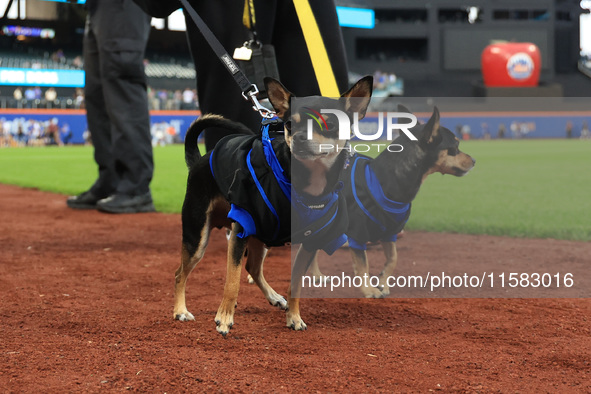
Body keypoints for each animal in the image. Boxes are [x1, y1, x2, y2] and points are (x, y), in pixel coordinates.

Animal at [173, 75, 372, 334]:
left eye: (328, 123)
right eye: (289, 125)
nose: (299, 137)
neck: (304, 185)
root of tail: (199, 161)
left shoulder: (309, 241)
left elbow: (295, 283)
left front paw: (294, 317)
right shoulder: (241, 229)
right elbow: (232, 281)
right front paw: (224, 319)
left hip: (262, 235)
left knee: (253, 268)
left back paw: (275, 297)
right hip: (198, 236)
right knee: (180, 273)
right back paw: (180, 310)